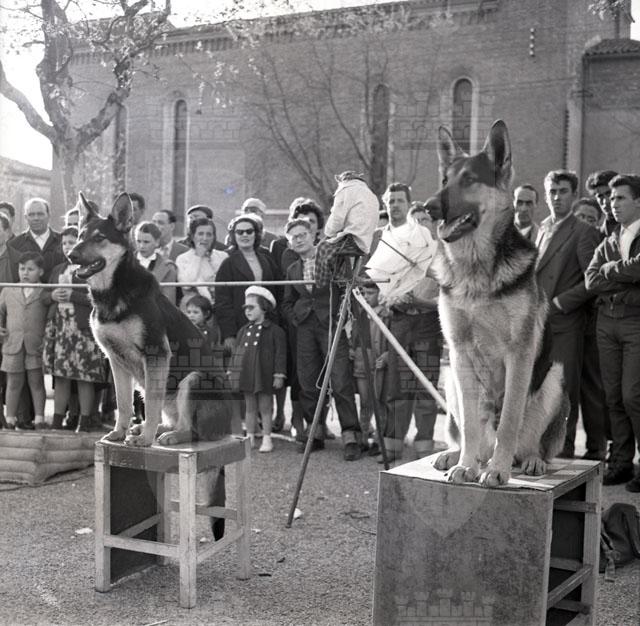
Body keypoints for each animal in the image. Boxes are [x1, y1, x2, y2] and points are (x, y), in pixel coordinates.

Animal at [68, 192, 231, 448]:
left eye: (99, 238)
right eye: (80, 235)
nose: (70, 255)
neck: (116, 290)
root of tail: (228, 426)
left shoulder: (156, 354)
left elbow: (152, 405)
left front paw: (145, 440)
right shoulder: (116, 360)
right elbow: (124, 403)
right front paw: (120, 432)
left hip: (193, 380)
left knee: (191, 430)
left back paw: (169, 435)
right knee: (172, 419)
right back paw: (151, 428)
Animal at [424, 120, 568, 487]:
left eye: (469, 180)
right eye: (445, 180)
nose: (428, 207)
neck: (475, 271)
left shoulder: (519, 353)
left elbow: (509, 421)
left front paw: (497, 471)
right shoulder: (459, 351)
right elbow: (471, 425)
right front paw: (466, 465)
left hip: (554, 378)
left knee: (531, 443)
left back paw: (528, 461)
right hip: (452, 383)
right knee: (471, 433)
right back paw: (459, 456)